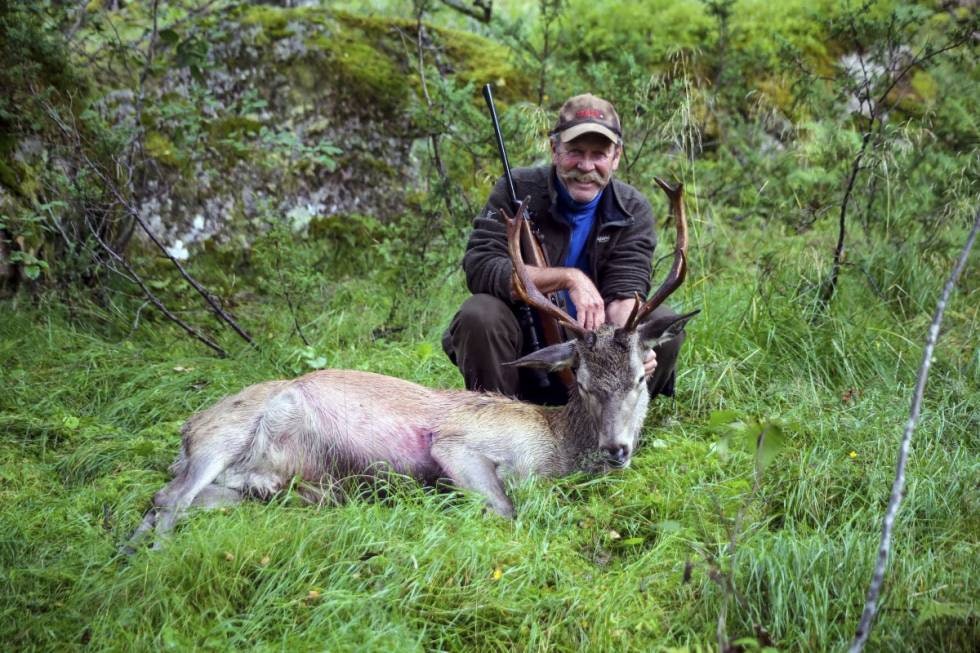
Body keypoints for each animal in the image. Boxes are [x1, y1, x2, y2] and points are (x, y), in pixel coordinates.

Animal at [124, 178, 696, 552]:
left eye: (640, 378)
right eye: (583, 381)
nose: (617, 449)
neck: (553, 450)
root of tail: (187, 427)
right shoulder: (458, 444)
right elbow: (507, 510)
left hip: (267, 484)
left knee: (192, 498)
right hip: (224, 434)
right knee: (167, 496)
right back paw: (142, 558)